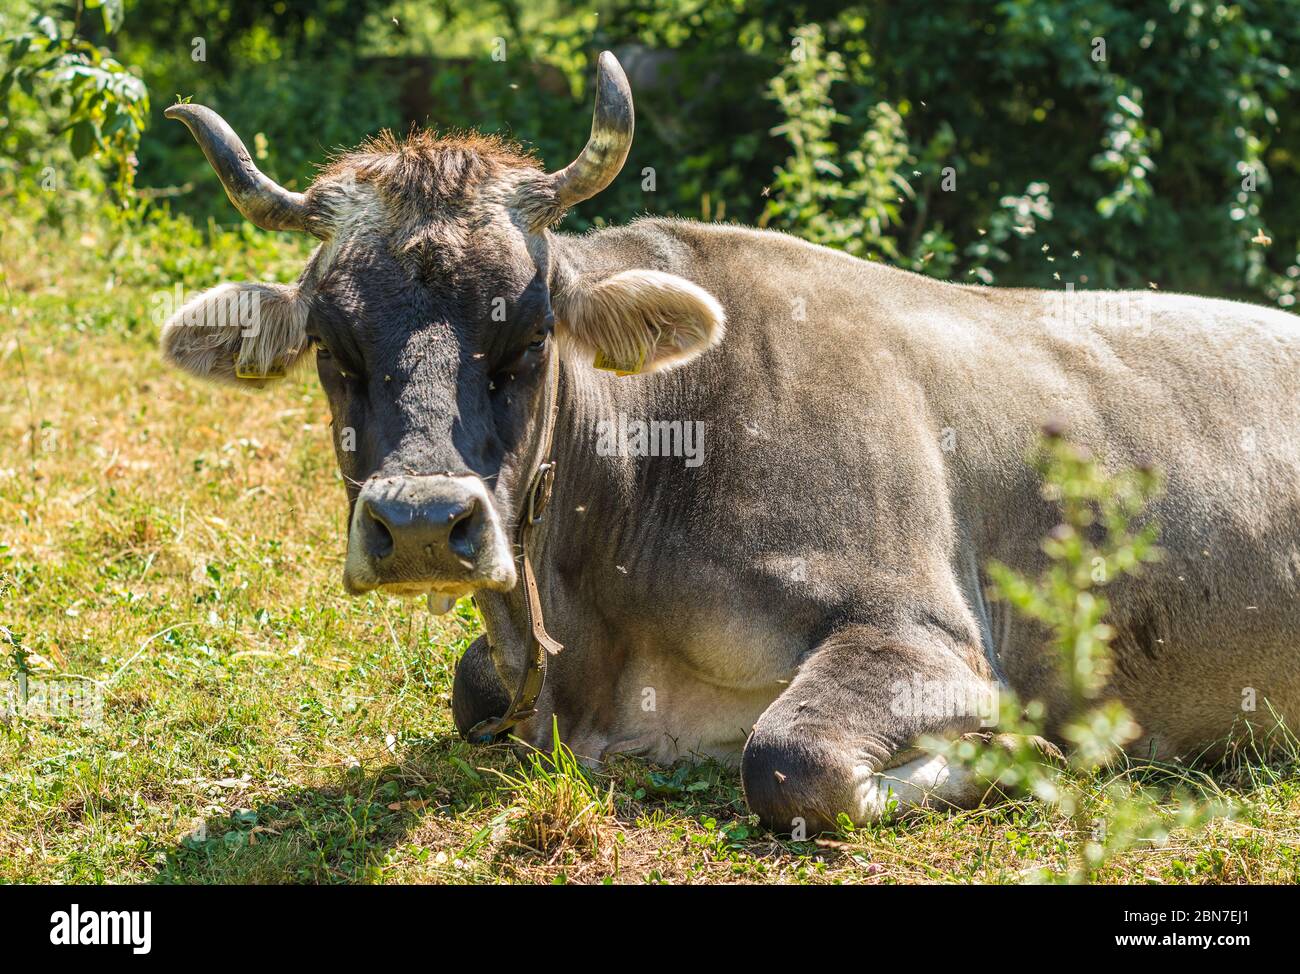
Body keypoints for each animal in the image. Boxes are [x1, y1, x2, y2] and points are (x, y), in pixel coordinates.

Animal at [159, 51, 1300, 827]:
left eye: (527, 335)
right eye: (332, 342)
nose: (425, 523)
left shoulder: (923, 634)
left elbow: (785, 759)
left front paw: (1034, 759)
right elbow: (469, 687)